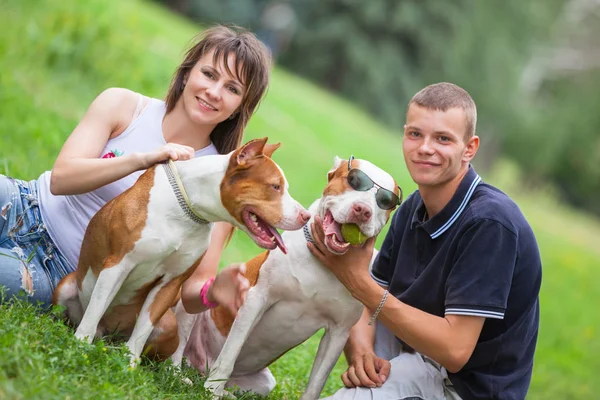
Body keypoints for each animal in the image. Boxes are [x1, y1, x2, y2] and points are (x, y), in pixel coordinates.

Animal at [52, 138, 310, 368]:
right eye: (275, 186)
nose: (306, 216)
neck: (188, 211)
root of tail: (105, 333)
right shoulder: (117, 265)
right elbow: (96, 307)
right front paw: (80, 345)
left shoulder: (170, 283)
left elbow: (144, 326)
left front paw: (130, 362)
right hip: (66, 286)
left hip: (168, 325)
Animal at [178, 156, 400, 400]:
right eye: (352, 180)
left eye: (385, 201)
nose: (362, 210)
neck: (324, 263)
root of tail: (199, 365)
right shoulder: (257, 299)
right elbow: (231, 351)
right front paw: (212, 391)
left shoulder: (338, 332)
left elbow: (315, 383)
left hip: (264, 382)